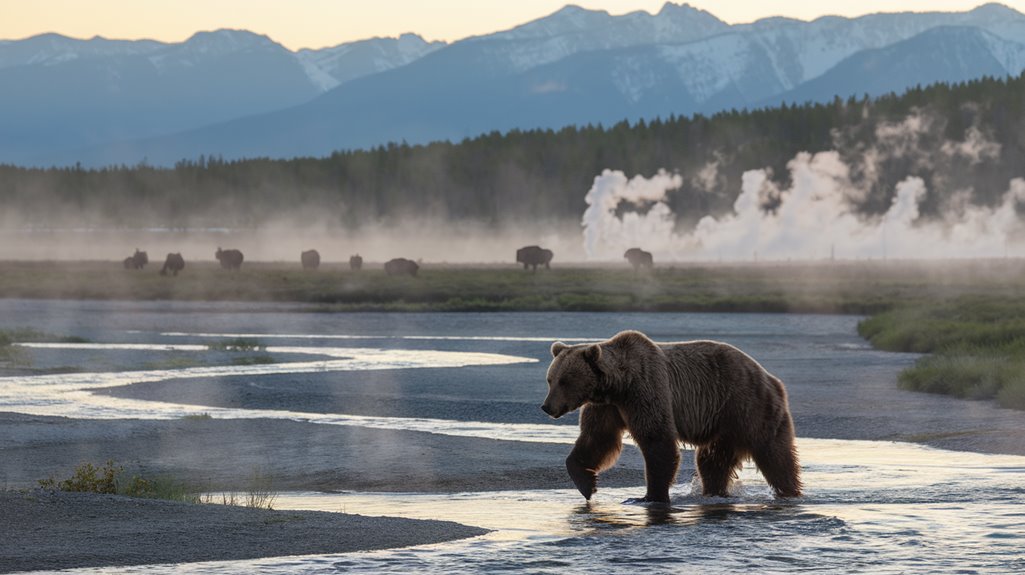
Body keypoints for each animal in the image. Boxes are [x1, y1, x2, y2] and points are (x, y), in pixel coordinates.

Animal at [545, 330, 799, 500]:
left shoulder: (646, 390)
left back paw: (789, 490)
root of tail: (771, 378)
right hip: (724, 424)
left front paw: (651, 495)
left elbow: (657, 441)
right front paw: (587, 484)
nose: (547, 407)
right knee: (712, 461)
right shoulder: (608, 407)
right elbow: (597, 439)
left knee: (774, 455)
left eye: (565, 381)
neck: (617, 386)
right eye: (551, 379)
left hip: (747, 406)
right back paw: (713, 491)